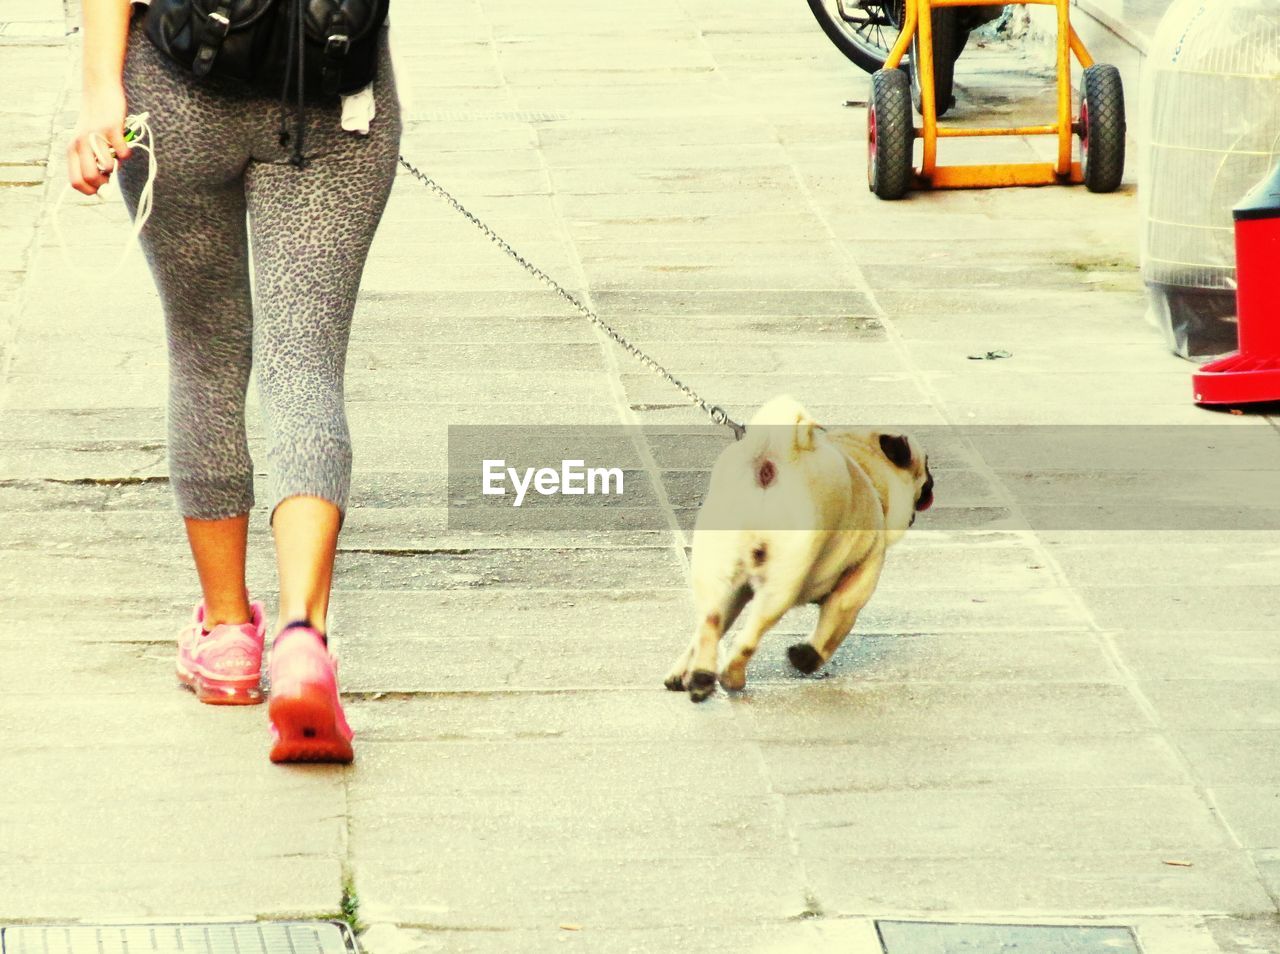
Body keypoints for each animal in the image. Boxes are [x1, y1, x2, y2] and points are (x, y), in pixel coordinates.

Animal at [665, 391, 936, 701]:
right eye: (926, 465)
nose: (933, 482)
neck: (868, 472)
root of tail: (772, 460)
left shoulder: (735, 593)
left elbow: (708, 632)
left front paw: (680, 672)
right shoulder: (857, 585)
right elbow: (829, 635)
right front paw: (804, 658)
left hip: (716, 568)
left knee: (710, 621)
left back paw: (701, 677)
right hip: (783, 581)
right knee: (749, 638)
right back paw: (731, 676)